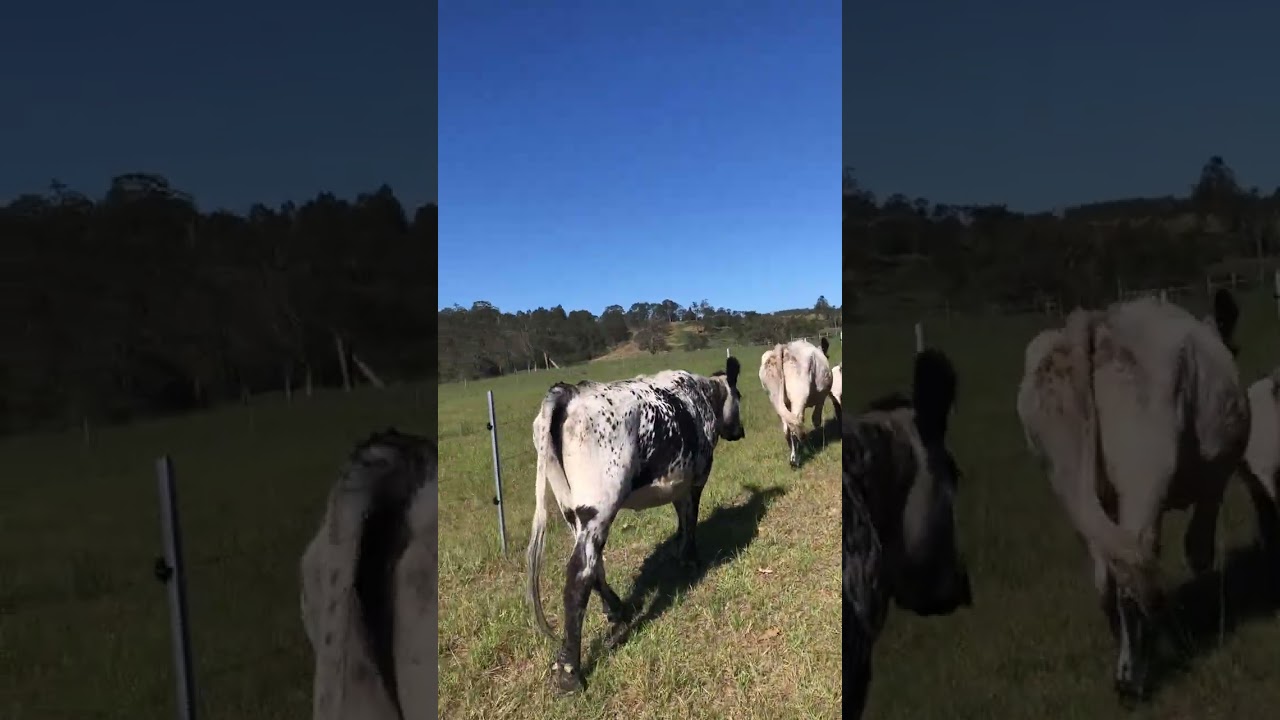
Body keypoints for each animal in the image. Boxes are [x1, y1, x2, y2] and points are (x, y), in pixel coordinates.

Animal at [526, 356, 746, 694]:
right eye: (740, 396)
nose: (740, 430)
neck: (702, 395)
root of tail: (570, 392)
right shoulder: (697, 475)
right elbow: (690, 518)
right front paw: (690, 558)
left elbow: (681, 516)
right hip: (599, 504)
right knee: (579, 573)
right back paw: (570, 673)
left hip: (572, 510)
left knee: (594, 563)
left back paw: (616, 609)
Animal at [759, 337, 834, 467]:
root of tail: (784, 347)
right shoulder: (821, 399)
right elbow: (816, 420)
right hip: (799, 395)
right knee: (796, 424)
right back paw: (796, 459)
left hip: (776, 398)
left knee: (788, 428)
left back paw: (794, 455)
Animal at [1015, 295, 1250, 701]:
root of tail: (1097, 320)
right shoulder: (1215, 480)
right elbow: (1198, 549)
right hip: (1144, 472)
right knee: (1132, 568)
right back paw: (1133, 675)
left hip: (1071, 480)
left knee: (1110, 575)